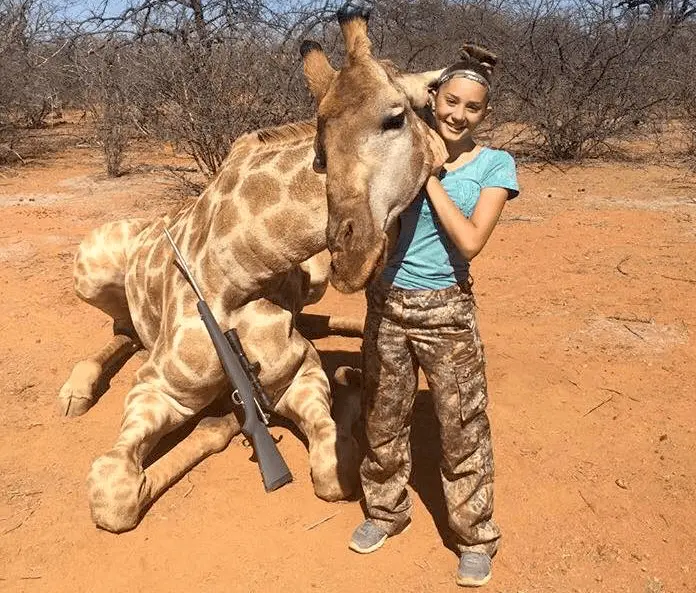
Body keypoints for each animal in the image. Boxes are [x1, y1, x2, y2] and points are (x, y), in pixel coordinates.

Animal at [59, 5, 443, 534]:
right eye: (320, 146)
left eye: (396, 117)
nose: (350, 253)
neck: (239, 269)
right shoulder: (157, 386)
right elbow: (113, 492)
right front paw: (221, 421)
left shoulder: (298, 373)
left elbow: (333, 472)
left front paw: (347, 383)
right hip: (88, 267)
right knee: (121, 331)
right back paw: (76, 392)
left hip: (314, 280)